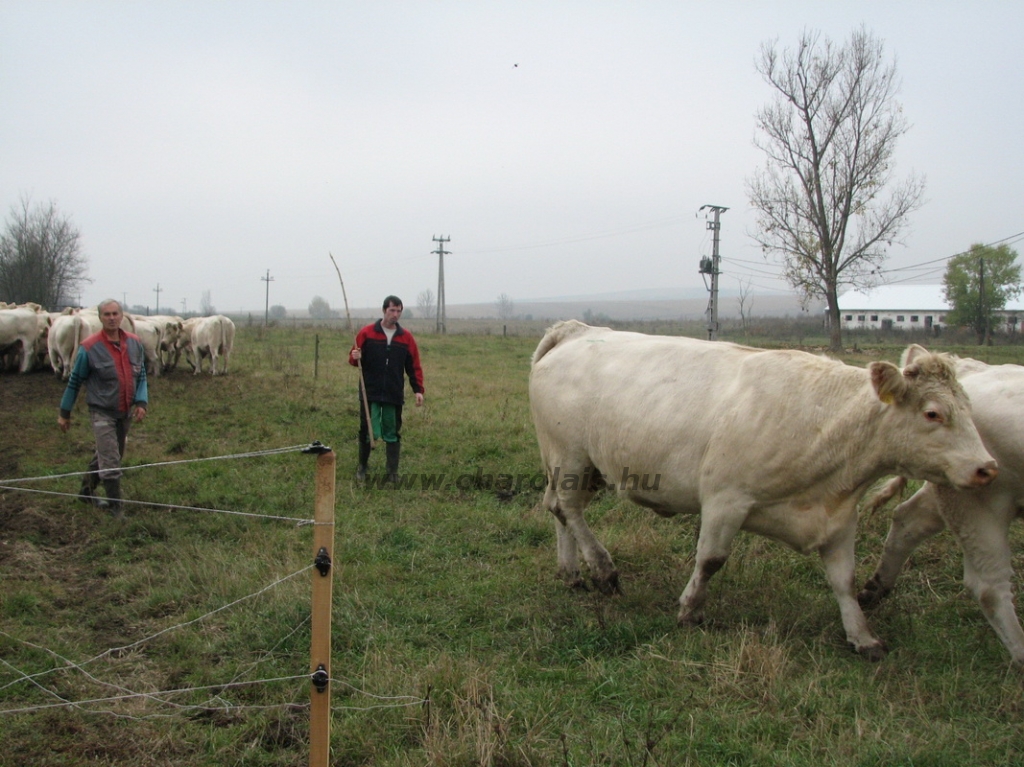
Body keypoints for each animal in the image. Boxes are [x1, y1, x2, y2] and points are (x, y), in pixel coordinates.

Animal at [532, 319, 995, 659]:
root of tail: (577, 330)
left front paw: (862, 636)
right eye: (933, 413)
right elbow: (710, 560)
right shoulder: (725, 499)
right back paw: (603, 570)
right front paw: (689, 610)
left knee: (558, 509)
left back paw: (571, 572)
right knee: (570, 510)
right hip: (570, 455)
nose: (987, 467)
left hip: (580, 466)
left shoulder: (840, 517)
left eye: (969, 407)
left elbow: (844, 580)